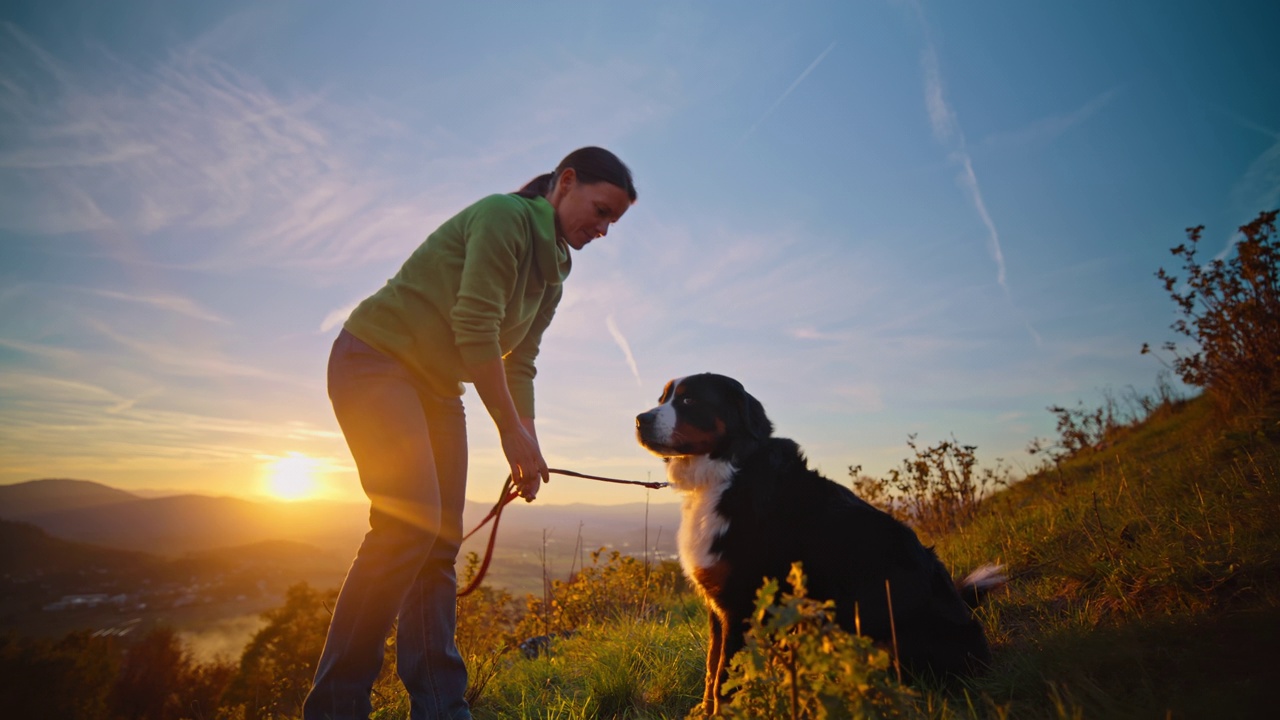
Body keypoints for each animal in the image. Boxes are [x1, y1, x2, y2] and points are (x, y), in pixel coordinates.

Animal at [634, 371, 1003, 707]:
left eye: (688, 400)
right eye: (661, 398)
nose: (639, 420)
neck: (728, 472)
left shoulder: (743, 603)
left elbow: (725, 677)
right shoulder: (718, 601)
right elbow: (713, 668)